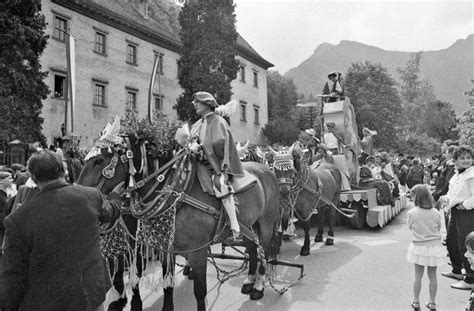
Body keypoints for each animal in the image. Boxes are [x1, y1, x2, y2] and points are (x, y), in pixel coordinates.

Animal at [75, 124, 280, 311]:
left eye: (99, 160)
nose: (78, 191)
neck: (177, 190)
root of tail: (265, 169)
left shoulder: (197, 251)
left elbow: (199, 291)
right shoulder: (166, 247)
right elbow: (167, 283)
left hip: (266, 223)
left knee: (263, 249)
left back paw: (259, 286)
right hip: (248, 224)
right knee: (252, 248)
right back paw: (249, 281)